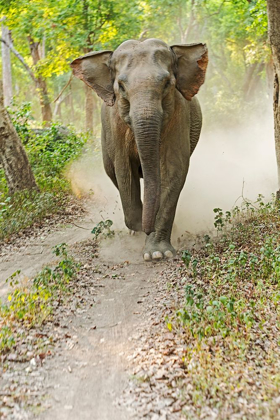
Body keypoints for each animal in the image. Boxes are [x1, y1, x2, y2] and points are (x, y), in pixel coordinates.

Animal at [71, 38, 208, 260]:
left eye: (167, 84)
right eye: (121, 86)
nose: (147, 228)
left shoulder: (179, 115)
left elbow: (173, 169)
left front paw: (157, 254)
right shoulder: (116, 126)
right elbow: (124, 170)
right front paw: (139, 227)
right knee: (112, 172)